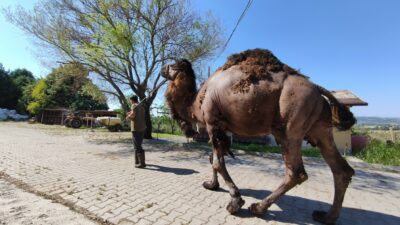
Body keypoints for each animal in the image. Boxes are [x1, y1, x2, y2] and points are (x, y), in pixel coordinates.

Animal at [161, 48, 354, 224]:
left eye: (172, 65)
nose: (162, 68)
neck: (195, 102)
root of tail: (318, 89)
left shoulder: (212, 121)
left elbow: (217, 162)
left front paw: (235, 201)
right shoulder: (221, 127)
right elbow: (213, 158)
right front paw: (211, 185)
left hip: (290, 126)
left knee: (296, 172)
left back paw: (258, 208)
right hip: (320, 128)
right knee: (341, 169)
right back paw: (327, 216)